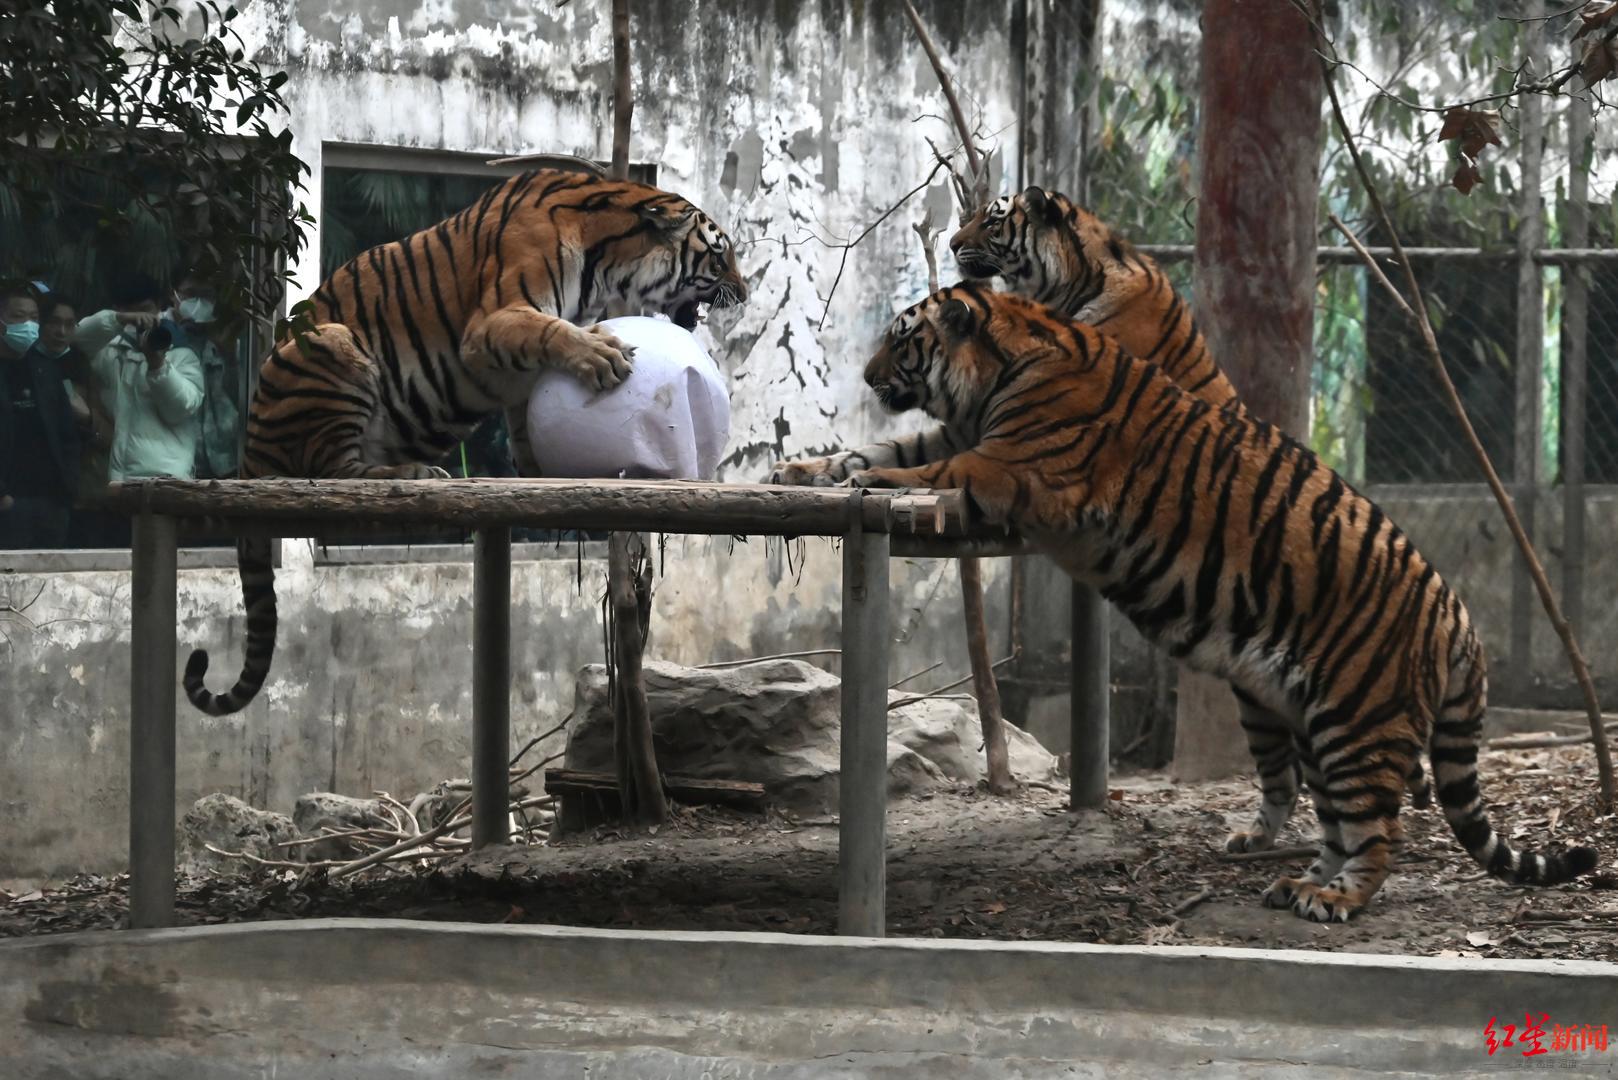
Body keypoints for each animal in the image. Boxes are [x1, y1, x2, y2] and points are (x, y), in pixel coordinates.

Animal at [183, 170, 744, 718]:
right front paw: (602, 355)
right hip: (331, 343)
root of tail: (249, 450)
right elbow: (553, 331)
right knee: (332, 469)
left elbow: (526, 424)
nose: (743, 292)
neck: (607, 259)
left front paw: (543, 477)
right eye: (720, 256)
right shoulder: (494, 322)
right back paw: (412, 474)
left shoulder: (515, 372)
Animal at [766, 284, 1592, 919]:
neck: (1003, 368)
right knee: (1337, 825)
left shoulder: (1004, 465)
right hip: (1317, 721)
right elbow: (884, 447)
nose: (869, 374)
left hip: (1360, 720)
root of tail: (1457, 617)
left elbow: (922, 468)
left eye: (902, 341)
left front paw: (864, 480)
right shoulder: (963, 435)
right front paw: (802, 468)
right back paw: (1295, 884)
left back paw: (1335, 901)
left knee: (1379, 832)